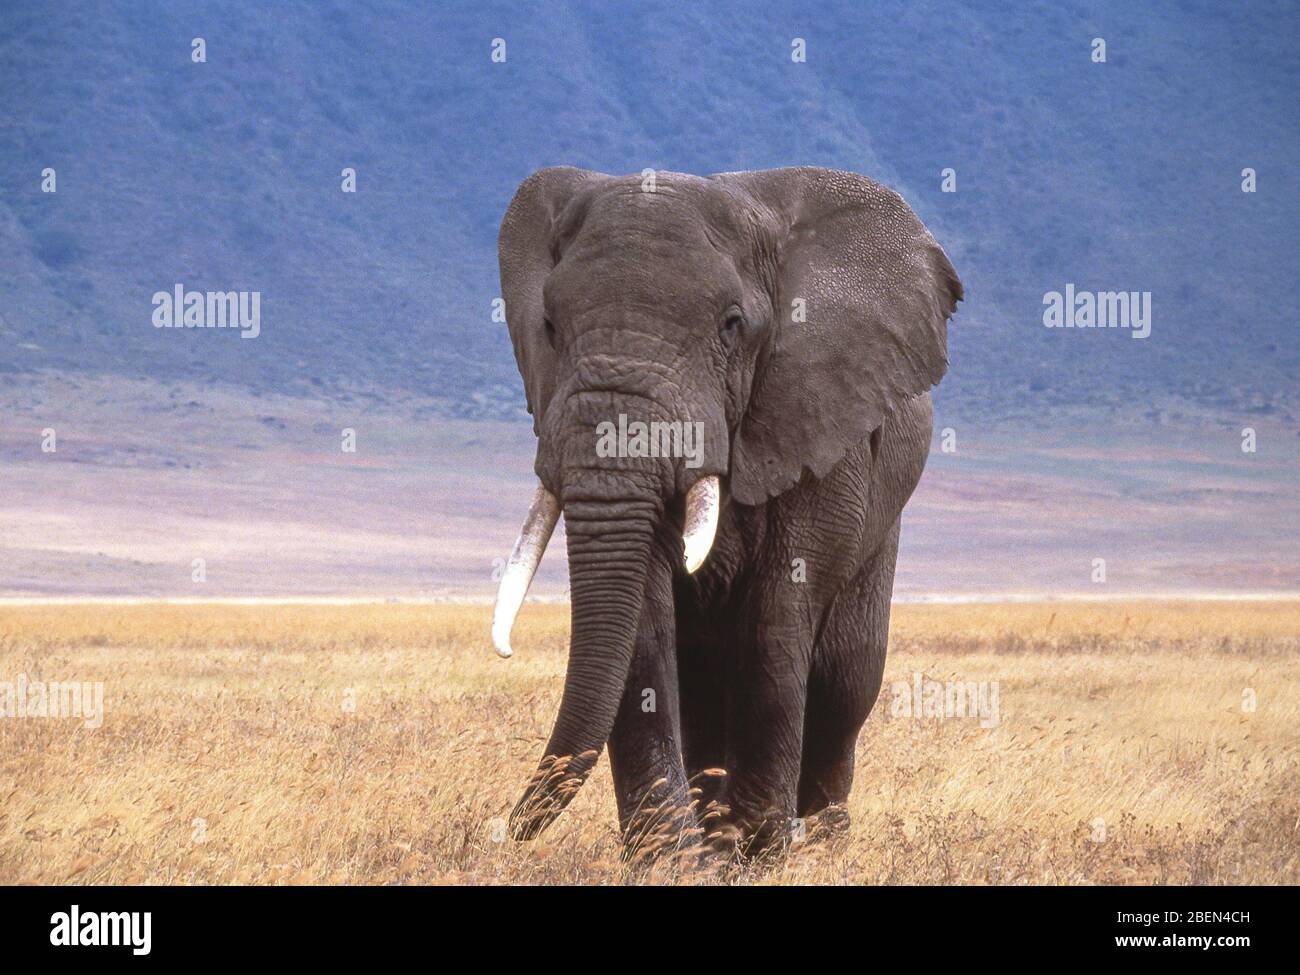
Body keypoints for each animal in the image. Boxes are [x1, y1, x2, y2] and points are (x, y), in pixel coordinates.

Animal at [491, 167, 961, 863]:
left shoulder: (818, 416)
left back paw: (819, 840)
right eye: (548, 325)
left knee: (845, 681)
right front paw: (674, 859)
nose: (499, 831)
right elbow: (645, 619)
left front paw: (758, 850)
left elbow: (778, 613)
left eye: (732, 326)